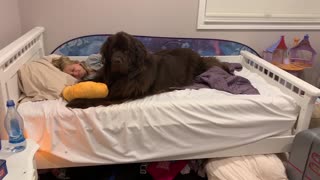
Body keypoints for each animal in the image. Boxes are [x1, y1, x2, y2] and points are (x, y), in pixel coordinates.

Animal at [66, 31, 229, 108]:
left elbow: (97, 98)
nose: (117, 60)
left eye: (126, 51)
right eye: (113, 50)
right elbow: (96, 80)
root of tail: (197, 54)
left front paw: (76, 101)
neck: (124, 76)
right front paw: (77, 85)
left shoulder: (119, 95)